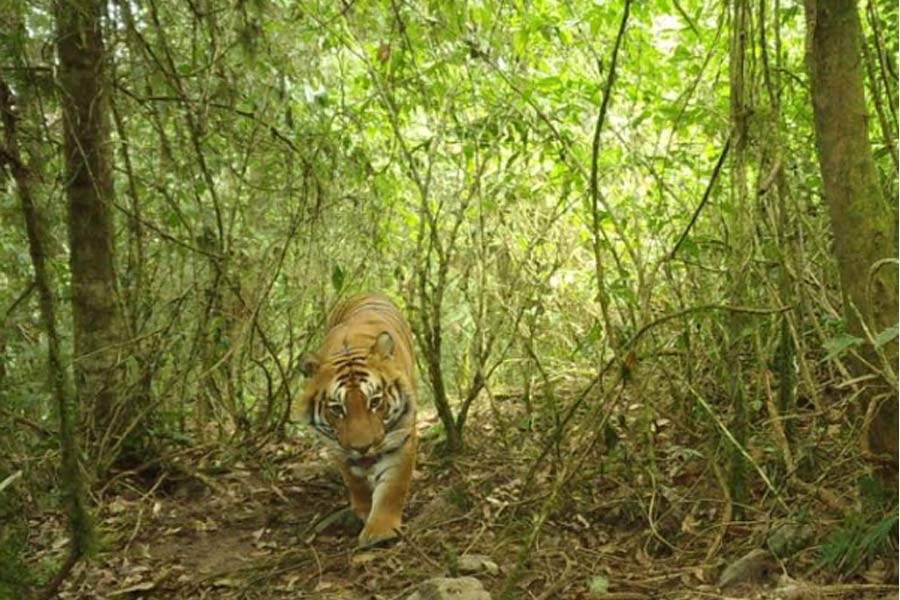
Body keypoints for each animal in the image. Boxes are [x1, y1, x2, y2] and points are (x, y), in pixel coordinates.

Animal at [300, 292, 416, 548]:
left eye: (374, 402)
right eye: (337, 409)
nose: (363, 448)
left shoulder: (401, 436)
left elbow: (393, 487)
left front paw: (380, 531)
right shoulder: (336, 445)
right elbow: (354, 480)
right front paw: (364, 510)